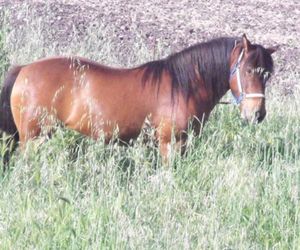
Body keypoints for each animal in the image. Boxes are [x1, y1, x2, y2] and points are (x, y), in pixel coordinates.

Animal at [0, 35, 276, 164]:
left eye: (268, 74)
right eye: (248, 70)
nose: (257, 114)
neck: (183, 86)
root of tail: (24, 69)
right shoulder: (170, 144)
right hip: (32, 138)